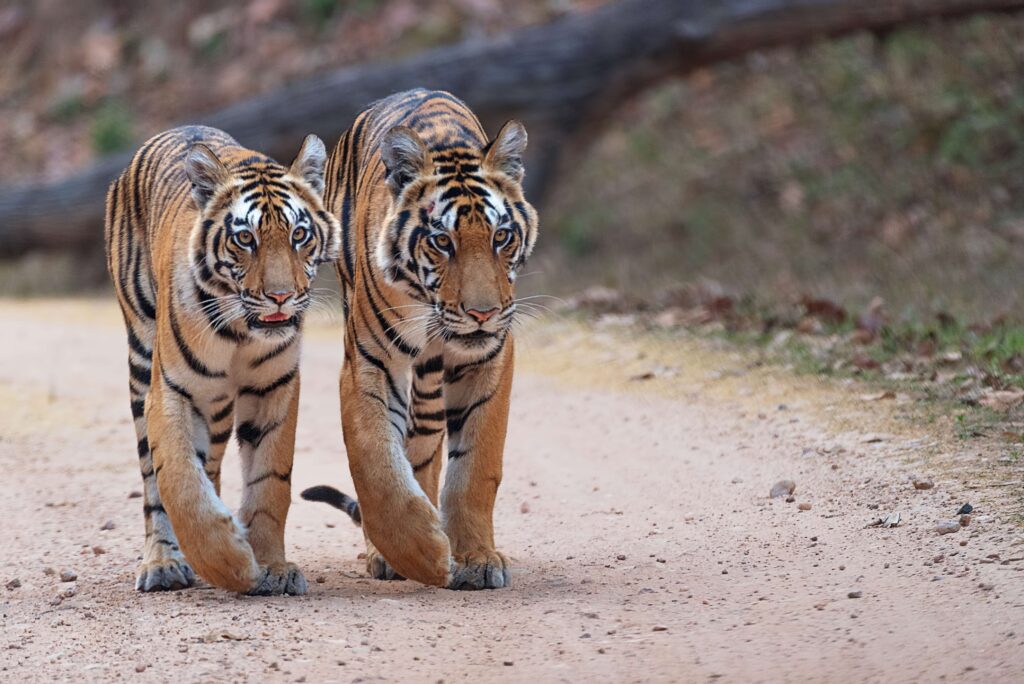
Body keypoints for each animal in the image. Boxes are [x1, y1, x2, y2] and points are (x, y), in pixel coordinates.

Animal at [106, 124, 342, 593]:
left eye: (299, 235)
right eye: (245, 238)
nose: (281, 296)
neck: (240, 332)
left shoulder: (275, 388)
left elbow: (270, 483)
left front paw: (271, 566)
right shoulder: (172, 390)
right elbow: (179, 480)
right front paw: (229, 563)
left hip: (215, 406)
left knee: (211, 462)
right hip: (142, 359)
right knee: (154, 479)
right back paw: (164, 562)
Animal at [301, 88, 540, 589]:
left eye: (501, 237)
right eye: (442, 242)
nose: (483, 314)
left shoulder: (490, 358)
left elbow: (476, 467)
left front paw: (476, 557)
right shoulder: (369, 363)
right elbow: (376, 464)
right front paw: (420, 554)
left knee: (425, 449)